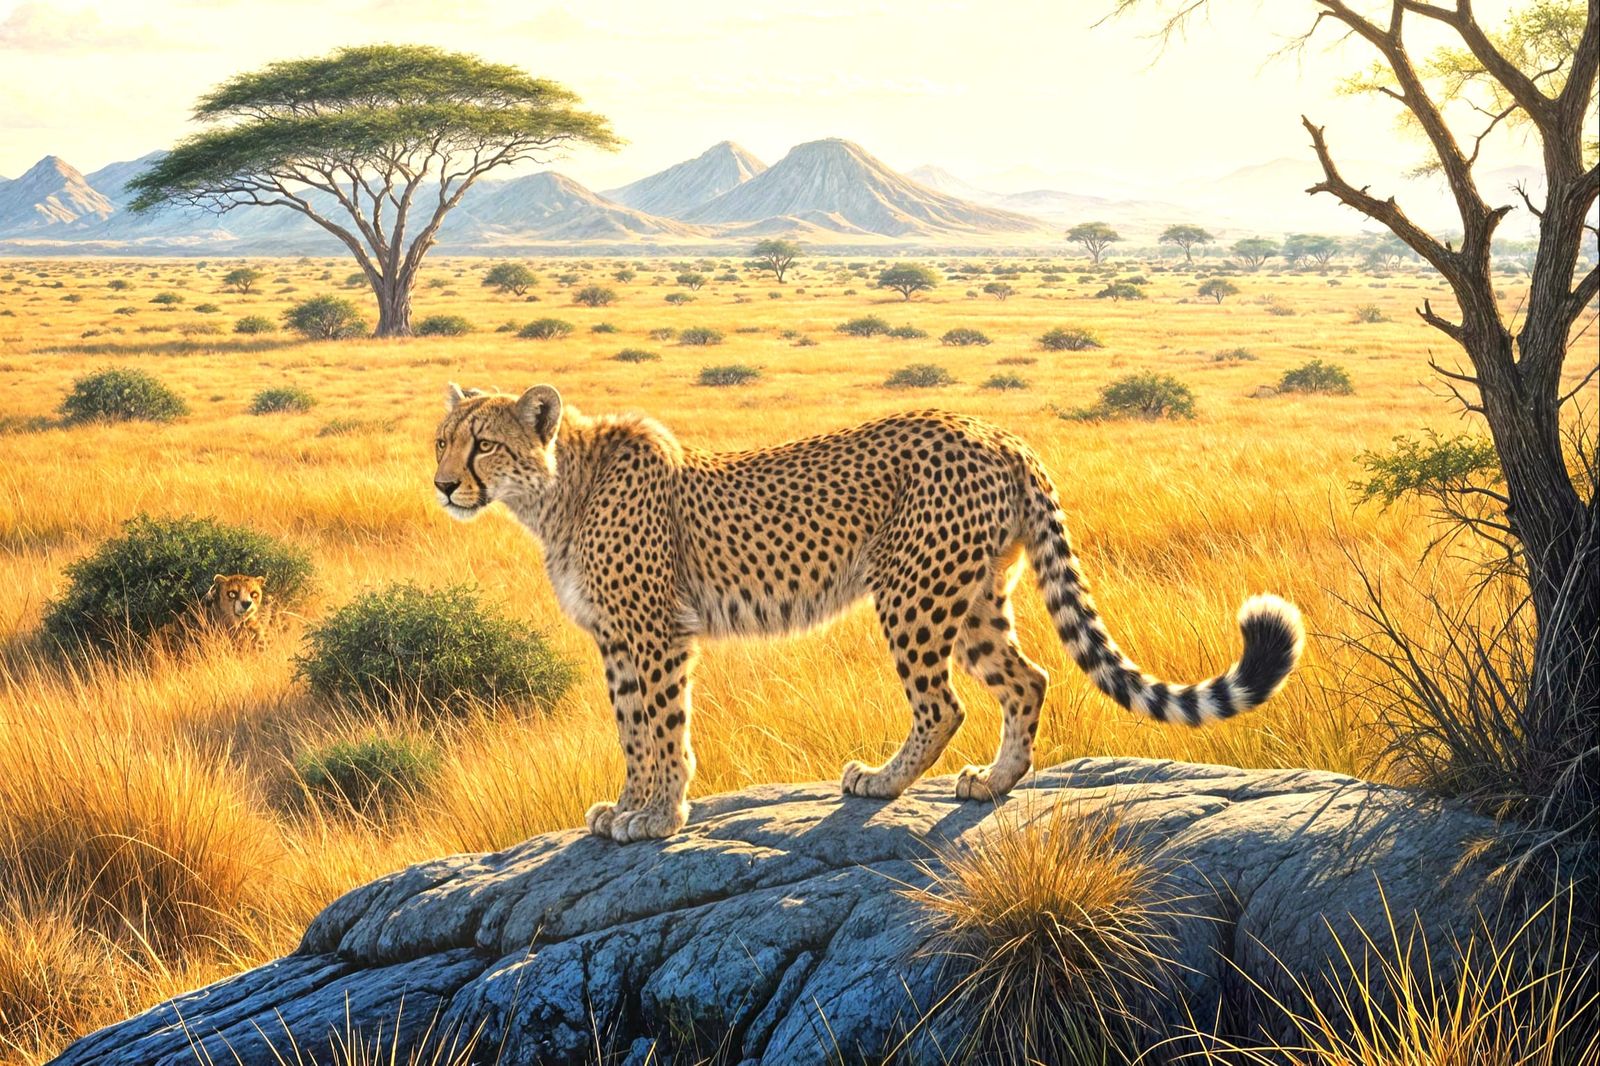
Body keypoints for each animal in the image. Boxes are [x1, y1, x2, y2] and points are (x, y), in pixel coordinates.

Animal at [433, 383, 1304, 843]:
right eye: (443, 439)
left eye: (483, 444)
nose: (443, 486)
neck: (556, 493)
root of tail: (994, 429)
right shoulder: (618, 640)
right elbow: (630, 728)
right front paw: (630, 805)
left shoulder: (654, 634)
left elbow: (659, 725)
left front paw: (656, 814)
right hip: (974, 595)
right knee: (1027, 679)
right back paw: (995, 782)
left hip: (912, 590)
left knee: (943, 702)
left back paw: (881, 781)